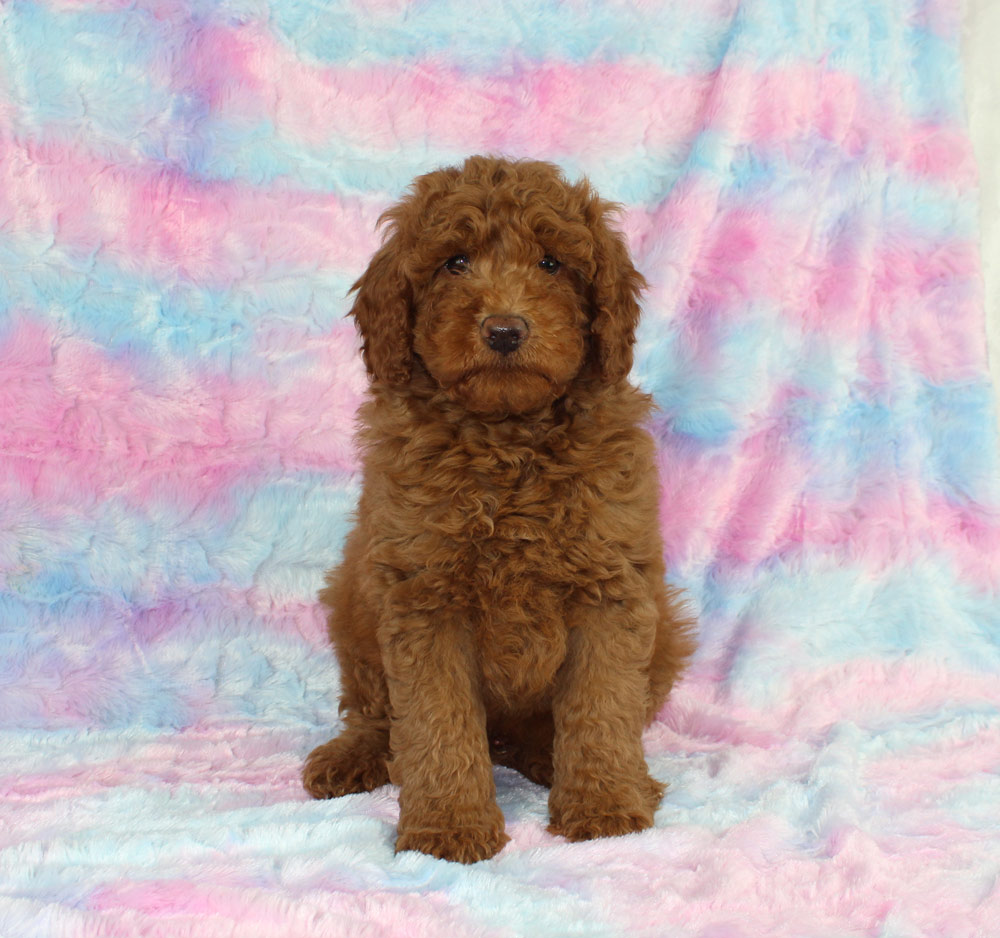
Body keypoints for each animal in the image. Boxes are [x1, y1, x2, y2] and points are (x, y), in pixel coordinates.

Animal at [304, 156, 694, 863]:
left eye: (551, 263)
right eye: (454, 262)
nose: (505, 330)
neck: (507, 437)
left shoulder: (611, 590)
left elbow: (601, 706)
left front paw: (605, 804)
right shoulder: (423, 597)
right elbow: (437, 720)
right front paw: (448, 826)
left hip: (670, 630)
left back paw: (550, 757)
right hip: (352, 599)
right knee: (376, 712)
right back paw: (353, 757)